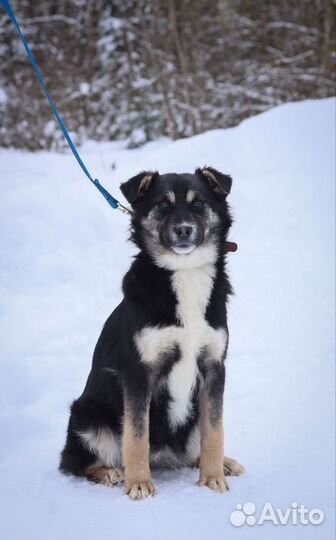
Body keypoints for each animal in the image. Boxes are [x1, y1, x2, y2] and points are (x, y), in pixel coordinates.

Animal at [59, 167, 244, 500]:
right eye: (163, 205)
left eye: (199, 204)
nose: (184, 230)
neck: (184, 273)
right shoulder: (137, 372)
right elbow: (136, 437)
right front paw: (139, 483)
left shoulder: (214, 367)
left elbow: (215, 431)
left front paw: (212, 478)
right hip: (87, 415)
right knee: (75, 462)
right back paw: (109, 472)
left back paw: (224, 463)